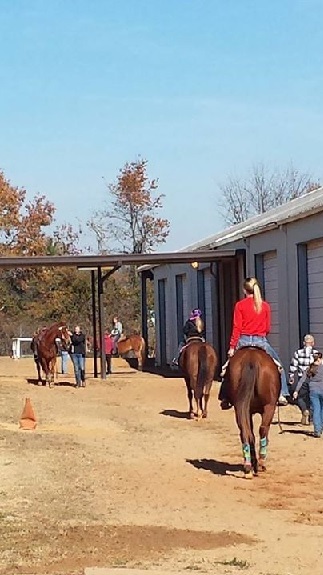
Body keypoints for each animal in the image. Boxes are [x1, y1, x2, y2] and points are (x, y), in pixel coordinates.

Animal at [224, 348, 282, 480]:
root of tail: (251, 359)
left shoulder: (248, 411)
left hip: (240, 407)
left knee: (245, 432)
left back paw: (248, 467)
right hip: (269, 406)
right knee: (263, 429)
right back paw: (260, 463)